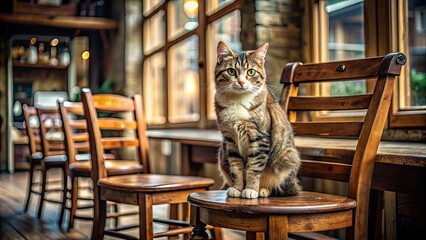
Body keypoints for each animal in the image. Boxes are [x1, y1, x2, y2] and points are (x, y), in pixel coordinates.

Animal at [215, 40, 302, 199]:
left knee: (280, 188)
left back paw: (263, 190)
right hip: (222, 153)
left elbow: (254, 168)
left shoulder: (260, 137)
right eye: (231, 71)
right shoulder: (230, 139)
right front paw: (237, 188)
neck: (238, 100)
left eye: (251, 72)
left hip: (288, 156)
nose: (241, 82)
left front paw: (250, 189)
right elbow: (236, 167)